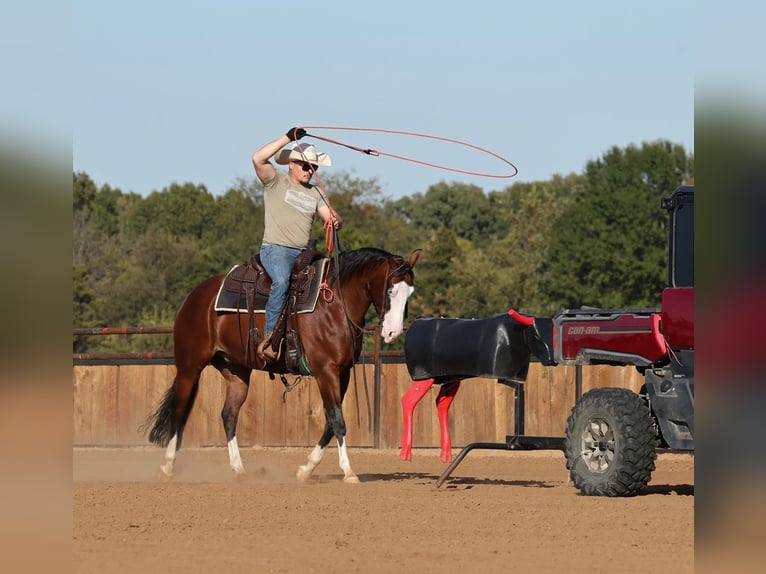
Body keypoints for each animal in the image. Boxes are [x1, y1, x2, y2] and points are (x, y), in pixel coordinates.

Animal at [143, 246, 421, 483]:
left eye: (410, 292)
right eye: (390, 290)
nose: (393, 333)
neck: (334, 304)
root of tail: (194, 296)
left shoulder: (342, 373)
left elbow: (330, 423)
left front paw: (306, 469)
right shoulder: (325, 371)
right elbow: (338, 421)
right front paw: (349, 471)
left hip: (236, 371)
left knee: (228, 415)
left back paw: (239, 469)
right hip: (189, 367)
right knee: (179, 411)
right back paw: (167, 466)